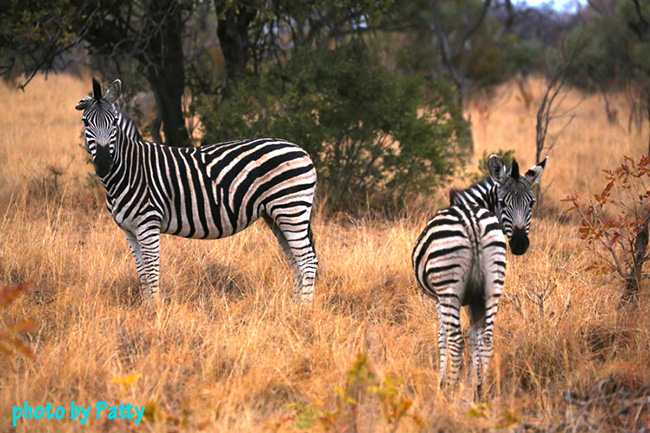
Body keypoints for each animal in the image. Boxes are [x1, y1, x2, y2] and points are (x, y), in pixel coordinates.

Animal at [76, 78, 318, 303]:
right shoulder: (129, 230)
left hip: (290, 208)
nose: (104, 163)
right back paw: (293, 305)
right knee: (296, 259)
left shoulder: (147, 224)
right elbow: (142, 273)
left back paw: (302, 309)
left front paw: (153, 311)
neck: (129, 170)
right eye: (86, 122)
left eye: (114, 123)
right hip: (275, 214)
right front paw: (146, 307)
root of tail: (302, 151)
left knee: (307, 260)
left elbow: (152, 271)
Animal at [412, 155, 547, 395]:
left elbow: (442, 337)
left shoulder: (438, 299)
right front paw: (477, 382)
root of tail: (472, 221)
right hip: (493, 284)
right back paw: (483, 389)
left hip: (449, 289)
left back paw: (451, 390)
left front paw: (442, 381)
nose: (520, 244)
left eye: (531, 203)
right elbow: (475, 338)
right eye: (502, 202)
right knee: (487, 337)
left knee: (456, 340)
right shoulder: (476, 298)